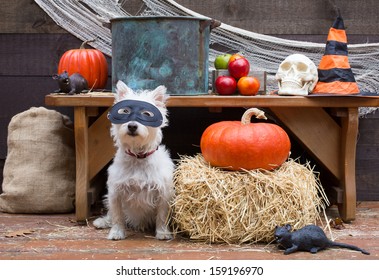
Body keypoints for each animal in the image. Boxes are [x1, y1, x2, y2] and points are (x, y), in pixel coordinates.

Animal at [93, 80, 175, 240]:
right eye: (124, 112)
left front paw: (163, 233)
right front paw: (116, 233)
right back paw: (102, 221)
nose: (132, 125)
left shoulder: (163, 192)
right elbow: (117, 215)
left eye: (147, 114)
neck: (138, 157)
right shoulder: (116, 191)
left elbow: (162, 215)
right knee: (111, 214)